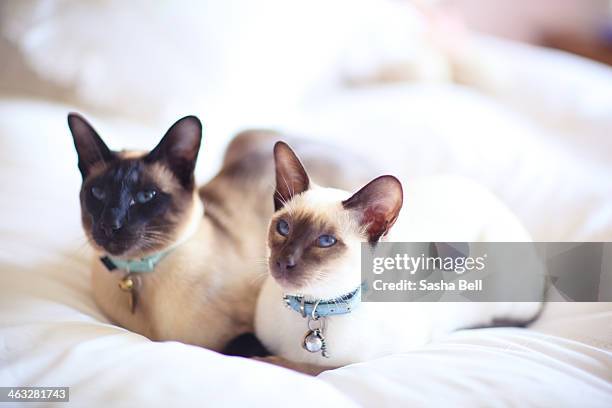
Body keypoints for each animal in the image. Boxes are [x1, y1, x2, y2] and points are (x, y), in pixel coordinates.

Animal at [256, 142, 544, 374]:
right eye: (284, 228)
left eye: (325, 241)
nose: (284, 262)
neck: (314, 309)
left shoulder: (361, 363)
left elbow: (305, 367)